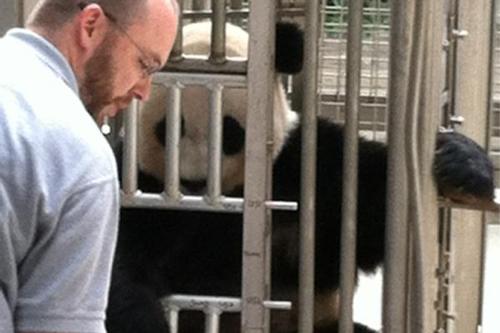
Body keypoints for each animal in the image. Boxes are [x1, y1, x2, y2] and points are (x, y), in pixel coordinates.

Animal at [104, 20, 492, 332]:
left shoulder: (303, 162)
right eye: (169, 128)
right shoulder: (139, 179)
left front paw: (463, 163)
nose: (195, 181)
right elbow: (118, 255)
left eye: (230, 133)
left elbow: (372, 213)